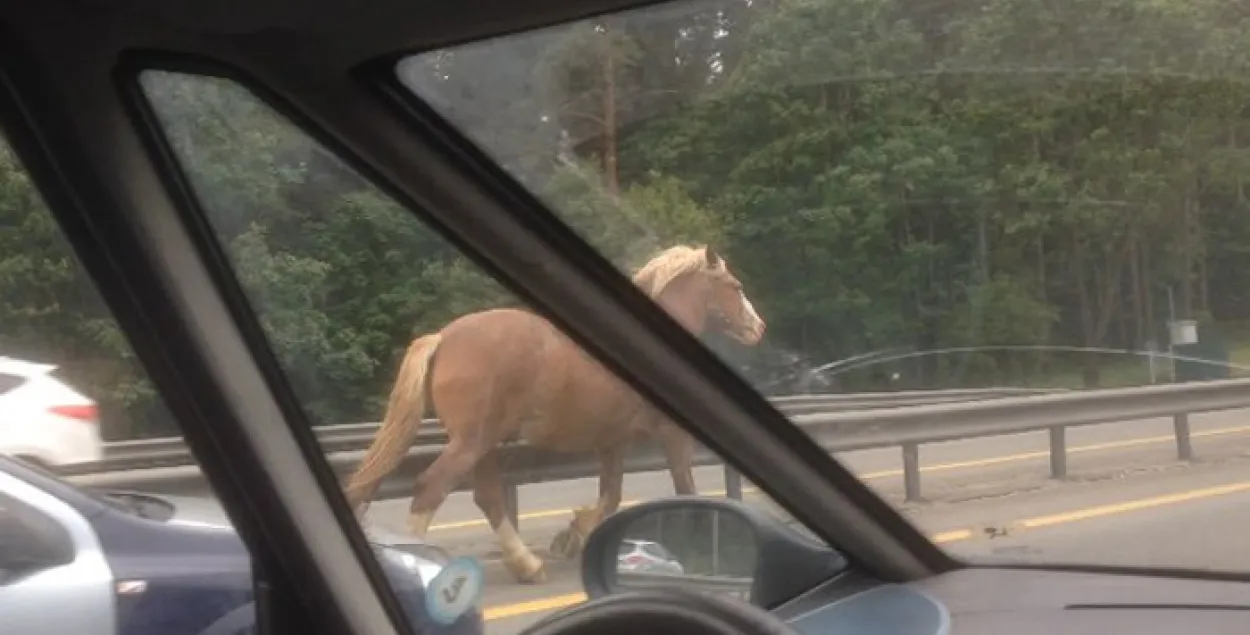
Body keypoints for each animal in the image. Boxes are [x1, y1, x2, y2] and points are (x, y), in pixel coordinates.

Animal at [347, 243, 765, 585]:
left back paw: (527, 566)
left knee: (487, 497)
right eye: (736, 286)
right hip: (471, 443)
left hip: (483, 445)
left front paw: (572, 535)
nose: (759, 327)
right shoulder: (671, 434)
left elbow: (611, 496)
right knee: (430, 489)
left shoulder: (612, 442)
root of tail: (443, 338)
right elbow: (684, 489)